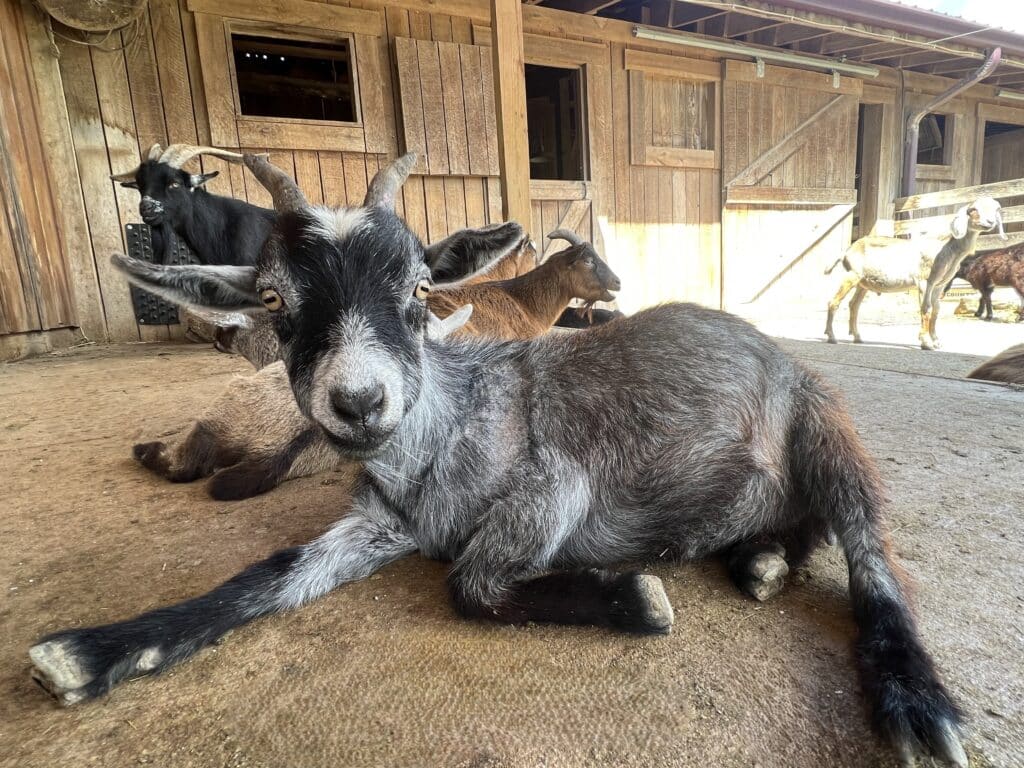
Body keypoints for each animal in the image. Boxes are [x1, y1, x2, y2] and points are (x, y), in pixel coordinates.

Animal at [31, 152, 967, 768]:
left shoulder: (556, 485)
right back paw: (763, 559)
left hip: (826, 425)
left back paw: (915, 700)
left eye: (419, 287)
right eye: (272, 297)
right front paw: (93, 653)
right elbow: (269, 574)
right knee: (806, 530)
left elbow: (472, 582)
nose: (359, 402)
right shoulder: (379, 522)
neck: (440, 436)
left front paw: (634, 597)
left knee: (870, 551)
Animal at [825, 198, 1006, 349]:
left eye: (995, 209)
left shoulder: (939, 286)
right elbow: (926, 308)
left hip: (863, 283)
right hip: (851, 276)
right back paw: (831, 337)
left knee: (854, 305)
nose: (989, 222)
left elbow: (936, 310)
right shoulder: (925, 281)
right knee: (834, 302)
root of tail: (847, 251)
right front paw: (926, 342)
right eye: (973, 209)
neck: (945, 248)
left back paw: (857, 337)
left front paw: (936, 341)